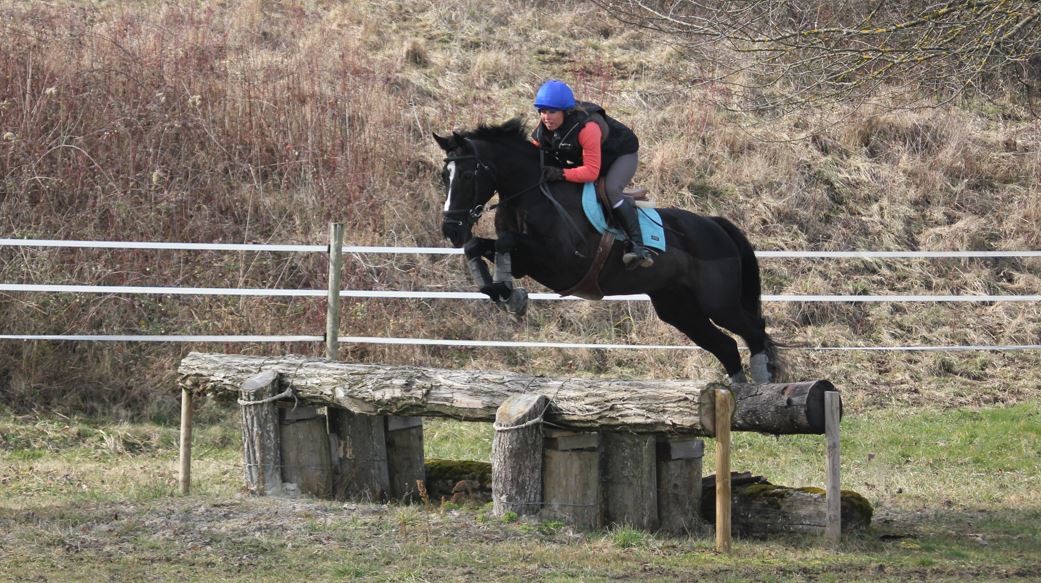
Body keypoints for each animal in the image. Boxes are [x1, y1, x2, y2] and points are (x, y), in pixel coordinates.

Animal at [433, 117, 782, 383]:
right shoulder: (526, 260)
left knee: (753, 331)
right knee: (726, 346)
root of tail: (715, 224)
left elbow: (505, 243)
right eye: (443, 176)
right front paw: (502, 291)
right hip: (678, 307)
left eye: (468, 174)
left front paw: (510, 294)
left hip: (717, 301)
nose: (451, 230)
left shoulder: (560, 264)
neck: (531, 193)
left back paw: (762, 385)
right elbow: (479, 246)